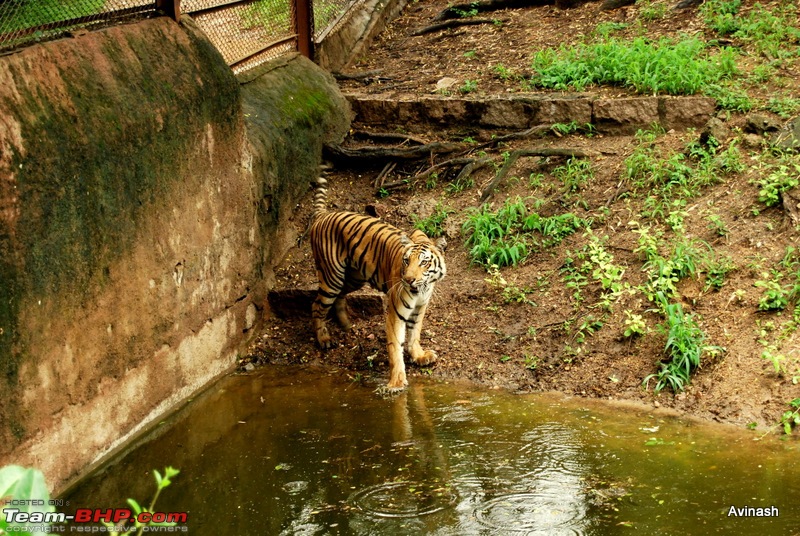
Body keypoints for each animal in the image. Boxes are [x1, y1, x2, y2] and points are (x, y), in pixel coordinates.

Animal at [308, 174, 446, 392]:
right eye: (406, 261)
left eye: (424, 262)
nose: (408, 279)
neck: (422, 288)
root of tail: (323, 215)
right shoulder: (395, 312)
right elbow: (395, 345)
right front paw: (396, 383)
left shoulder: (420, 307)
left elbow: (414, 332)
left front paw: (419, 356)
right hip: (332, 276)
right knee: (317, 305)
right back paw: (324, 339)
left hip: (354, 277)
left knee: (340, 297)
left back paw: (346, 325)